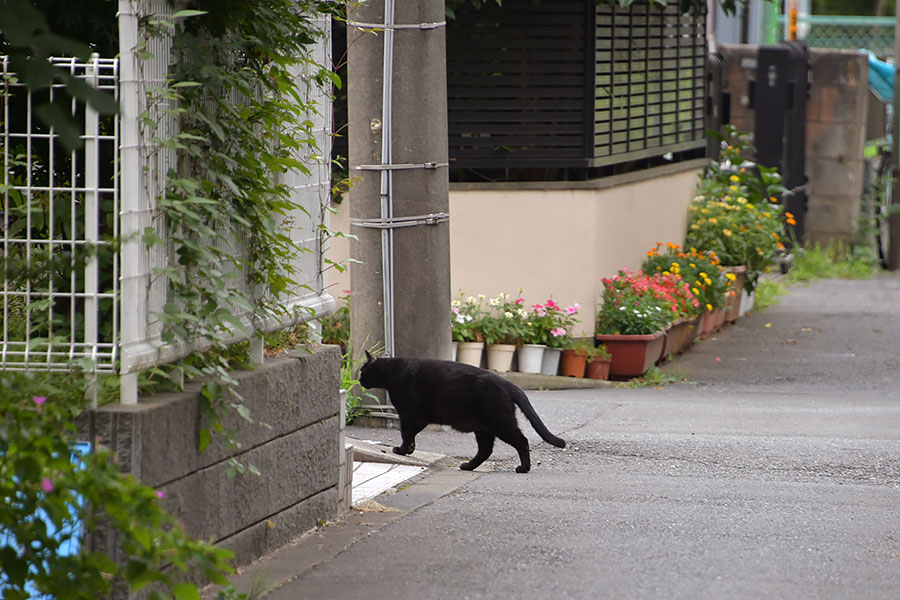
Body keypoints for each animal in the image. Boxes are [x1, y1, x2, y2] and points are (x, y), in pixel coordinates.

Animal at [356, 352, 564, 474]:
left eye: (362, 371)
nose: (359, 380)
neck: (391, 372)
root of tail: (507, 382)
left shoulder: (408, 415)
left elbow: (406, 434)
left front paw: (401, 450)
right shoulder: (414, 418)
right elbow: (411, 435)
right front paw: (409, 450)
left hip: (500, 423)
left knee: (522, 441)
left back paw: (523, 468)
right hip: (483, 428)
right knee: (486, 450)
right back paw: (468, 466)